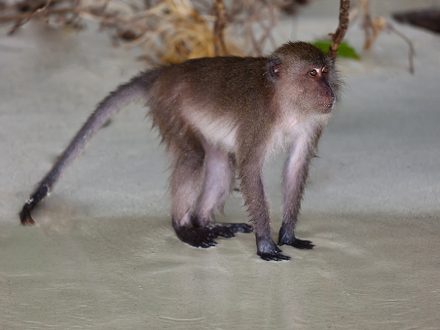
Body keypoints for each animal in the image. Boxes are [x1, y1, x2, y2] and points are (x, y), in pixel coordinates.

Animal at [18, 42, 340, 262]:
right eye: (312, 74)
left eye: (325, 72)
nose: (330, 93)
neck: (285, 102)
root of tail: (166, 72)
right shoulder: (258, 118)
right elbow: (249, 168)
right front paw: (266, 244)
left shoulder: (312, 121)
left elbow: (296, 165)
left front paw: (287, 235)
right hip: (170, 106)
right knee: (194, 157)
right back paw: (183, 227)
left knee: (220, 163)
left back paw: (204, 221)